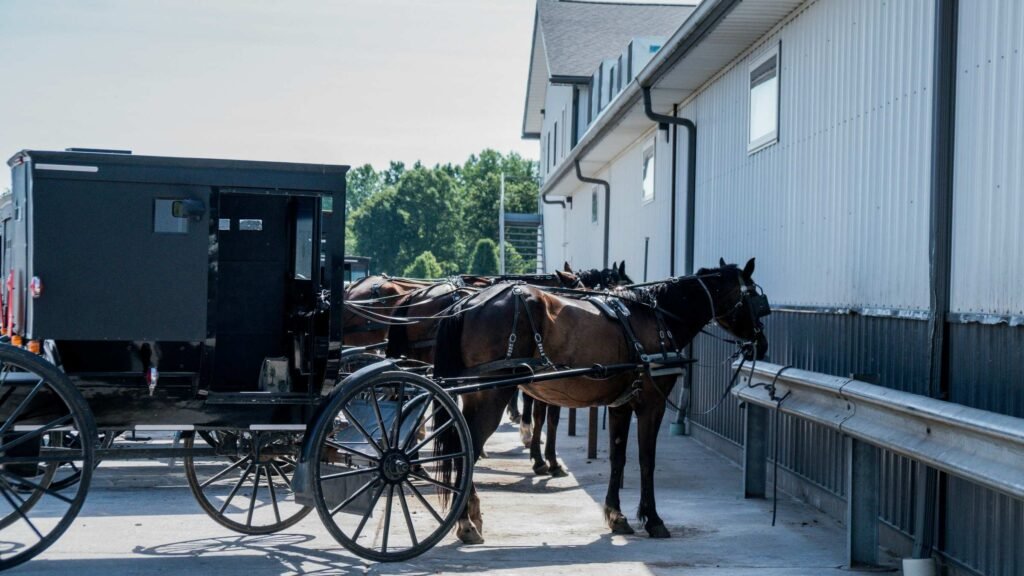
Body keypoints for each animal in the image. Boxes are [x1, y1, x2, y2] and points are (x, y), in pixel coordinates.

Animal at [432, 259, 770, 541]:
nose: (762, 343)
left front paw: (616, 515)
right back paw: (465, 522)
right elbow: (647, 459)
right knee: (468, 448)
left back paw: (469, 515)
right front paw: (653, 519)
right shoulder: (652, 403)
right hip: (493, 392)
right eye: (755, 298)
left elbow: (618, 458)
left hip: (475, 394)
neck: (657, 317)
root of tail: (469, 301)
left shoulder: (621, 404)